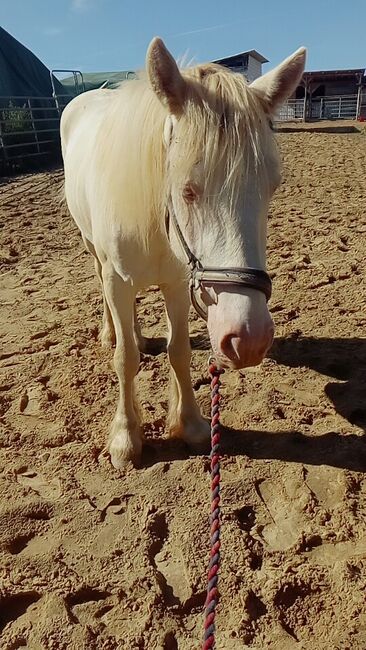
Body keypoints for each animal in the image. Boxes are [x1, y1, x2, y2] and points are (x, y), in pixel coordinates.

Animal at [60, 38, 306, 466]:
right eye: (188, 189)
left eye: (272, 186)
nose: (249, 338)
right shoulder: (117, 279)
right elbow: (125, 359)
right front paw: (125, 438)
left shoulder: (177, 282)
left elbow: (179, 352)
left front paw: (189, 424)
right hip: (94, 252)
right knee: (103, 290)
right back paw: (111, 332)